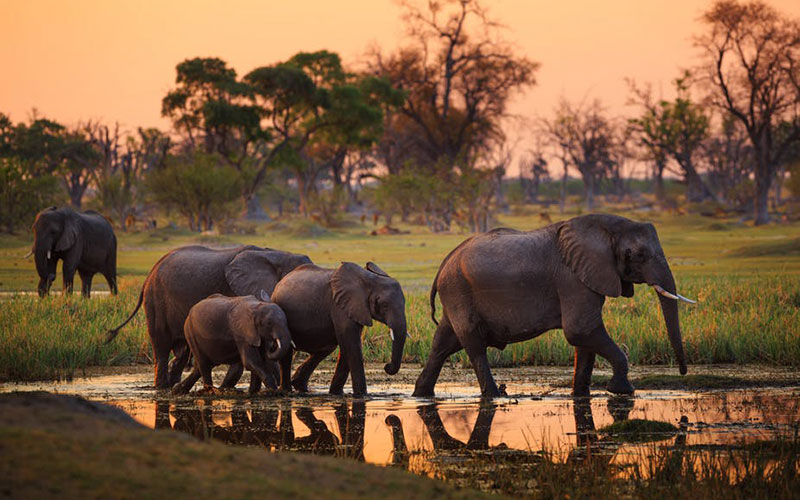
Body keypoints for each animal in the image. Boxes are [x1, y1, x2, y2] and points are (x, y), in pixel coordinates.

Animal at [106, 245, 312, 389]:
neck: (275, 254)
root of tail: (150, 273)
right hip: (156, 300)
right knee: (161, 346)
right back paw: (162, 387)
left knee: (182, 352)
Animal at [270, 261, 407, 397]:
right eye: (384, 305)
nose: (386, 366)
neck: (369, 279)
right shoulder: (339, 305)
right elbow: (351, 344)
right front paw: (362, 395)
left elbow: (347, 345)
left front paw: (336, 393)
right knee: (287, 351)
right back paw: (286, 391)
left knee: (326, 348)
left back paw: (300, 385)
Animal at [413, 214, 694, 399]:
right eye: (638, 255)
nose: (682, 372)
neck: (605, 228)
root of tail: (445, 262)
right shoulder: (572, 278)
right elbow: (580, 330)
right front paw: (621, 391)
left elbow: (585, 340)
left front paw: (580, 395)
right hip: (458, 290)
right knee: (474, 345)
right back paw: (495, 396)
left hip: (455, 294)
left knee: (443, 344)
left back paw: (421, 394)